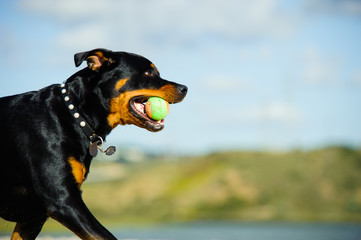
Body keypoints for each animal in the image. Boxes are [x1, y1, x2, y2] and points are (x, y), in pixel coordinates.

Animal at [0, 48, 186, 240]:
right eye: (149, 73)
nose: (185, 88)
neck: (74, 115)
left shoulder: (34, 218)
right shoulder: (63, 200)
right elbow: (104, 236)